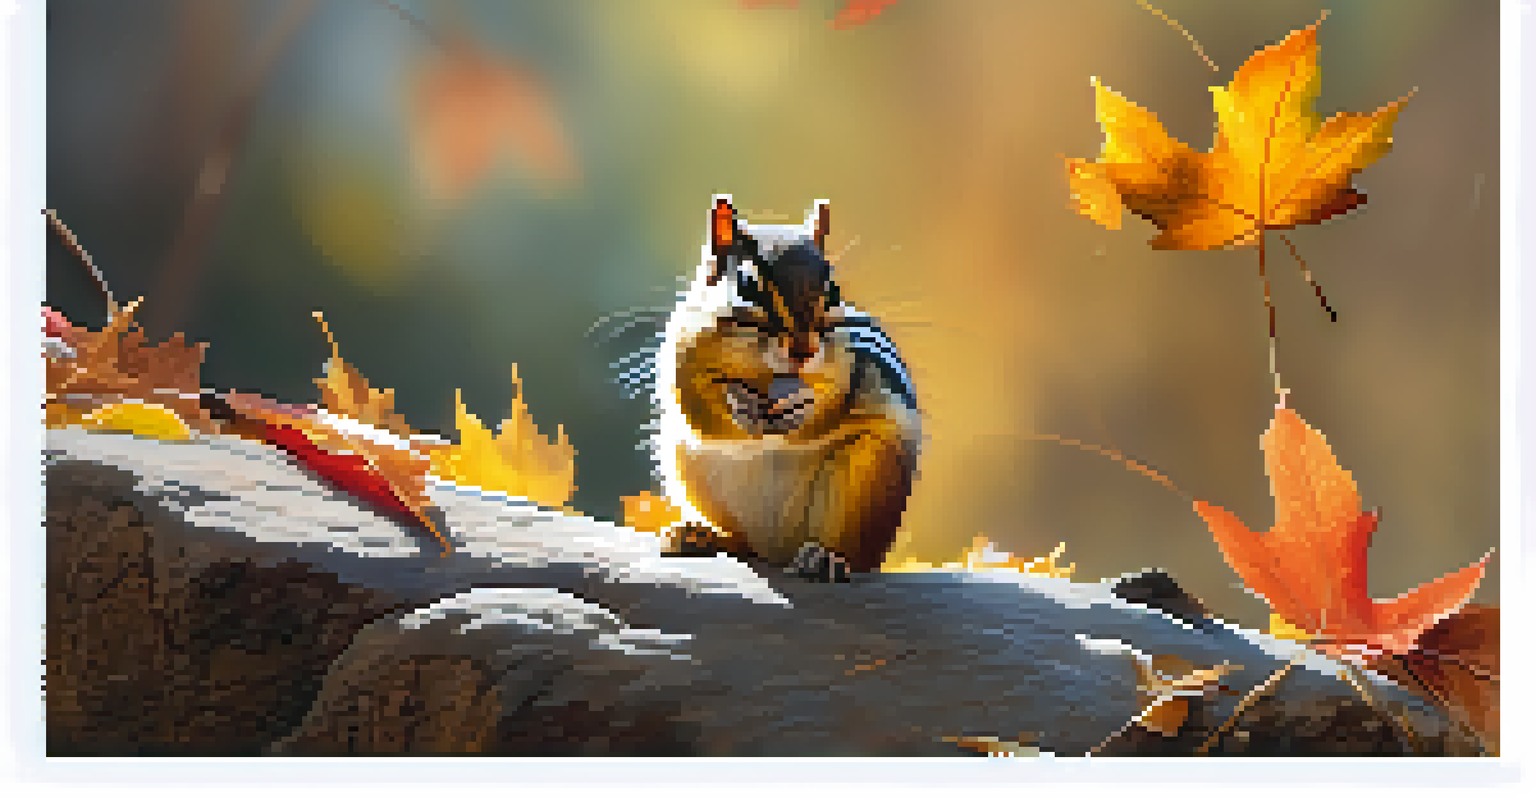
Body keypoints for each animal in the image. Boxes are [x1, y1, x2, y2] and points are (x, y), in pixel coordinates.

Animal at [650, 195, 921, 580]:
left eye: (833, 293)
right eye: (748, 286)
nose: (804, 351)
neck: (766, 373)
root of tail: (777, 554)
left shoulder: (851, 366)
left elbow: (830, 404)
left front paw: (802, 403)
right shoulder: (680, 356)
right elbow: (696, 406)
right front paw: (739, 401)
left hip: (868, 485)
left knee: (857, 559)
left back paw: (826, 558)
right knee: (743, 546)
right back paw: (700, 535)